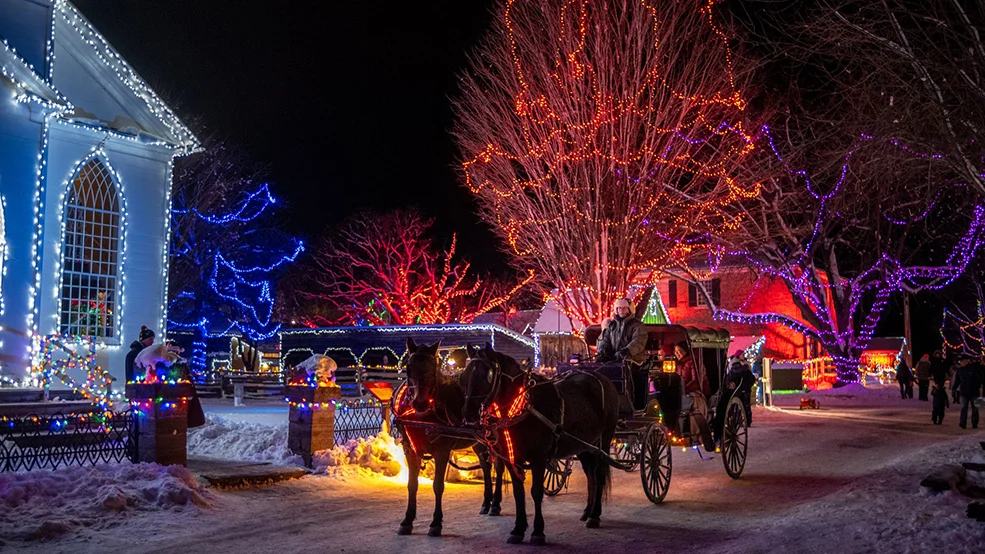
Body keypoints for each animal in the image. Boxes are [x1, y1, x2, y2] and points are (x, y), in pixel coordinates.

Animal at [392, 336, 504, 536]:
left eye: (433, 368)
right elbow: (412, 485)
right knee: (485, 465)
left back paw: (495, 504)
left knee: (498, 467)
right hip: (478, 442)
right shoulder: (410, 450)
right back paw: (486, 502)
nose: (420, 403)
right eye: (409, 367)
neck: (421, 417)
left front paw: (436, 522)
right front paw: (407, 521)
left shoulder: (442, 451)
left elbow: (438, 485)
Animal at [460, 340, 616, 544]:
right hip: (584, 444)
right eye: (464, 376)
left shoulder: (538, 458)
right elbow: (518, 492)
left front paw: (538, 532)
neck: (523, 407)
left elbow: (536, 491)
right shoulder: (513, 458)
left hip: (605, 437)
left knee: (598, 473)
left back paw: (594, 515)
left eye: (488, 376)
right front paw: (518, 529)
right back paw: (587, 511)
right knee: (590, 473)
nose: (468, 415)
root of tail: (602, 378)